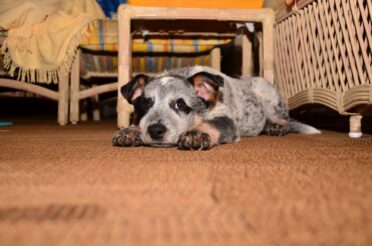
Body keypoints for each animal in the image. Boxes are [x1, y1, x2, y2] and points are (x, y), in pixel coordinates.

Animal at [111, 65, 320, 150]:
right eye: (145, 103)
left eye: (180, 104)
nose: (155, 130)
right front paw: (131, 131)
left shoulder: (226, 120)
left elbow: (212, 125)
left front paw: (197, 134)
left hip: (270, 100)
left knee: (286, 120)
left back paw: (277, 128)